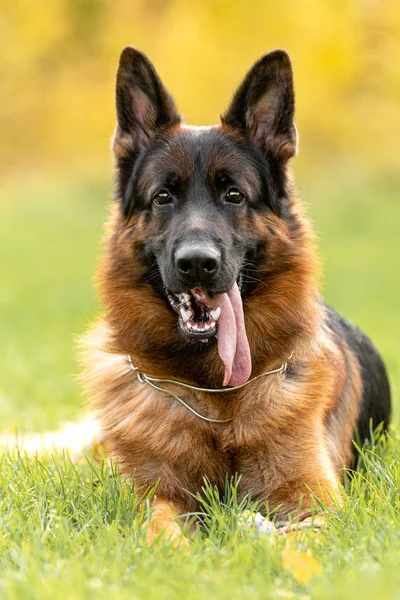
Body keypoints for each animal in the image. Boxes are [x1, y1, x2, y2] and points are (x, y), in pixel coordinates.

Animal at [82, 49, 390, 540]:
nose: (197, 263)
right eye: (163, 197)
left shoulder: (316, 499)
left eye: (234, 195)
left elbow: (299, 535)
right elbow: (159, 526)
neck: (215, 397)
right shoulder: (155, 496)